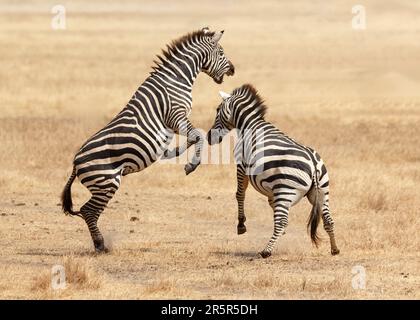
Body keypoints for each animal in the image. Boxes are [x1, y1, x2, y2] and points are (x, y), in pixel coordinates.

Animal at [60, 27, 235, 252]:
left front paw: (171, 152)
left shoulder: (174, 123)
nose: (233, 70)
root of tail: (75, 162)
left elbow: (192, 138)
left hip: (102, 184)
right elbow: (198, 135)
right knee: (88, 211)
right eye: (221, 52)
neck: (176, 79)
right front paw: (191, 165)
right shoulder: (176, 115)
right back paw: (101, 245)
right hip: (107, 182)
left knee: (88, 211)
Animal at [203, 84, 338, 258]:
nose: (208, 137)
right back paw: (335, 249)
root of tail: (313, 164)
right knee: (328, 219)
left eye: (217, 109)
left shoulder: (241, 166)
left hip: (286, 190)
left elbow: (240, 194)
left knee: (281, 221)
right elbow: (269, 200)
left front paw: (241, 225)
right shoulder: (271, 184)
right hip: (322, 192)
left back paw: (266, 251)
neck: (249, 125)